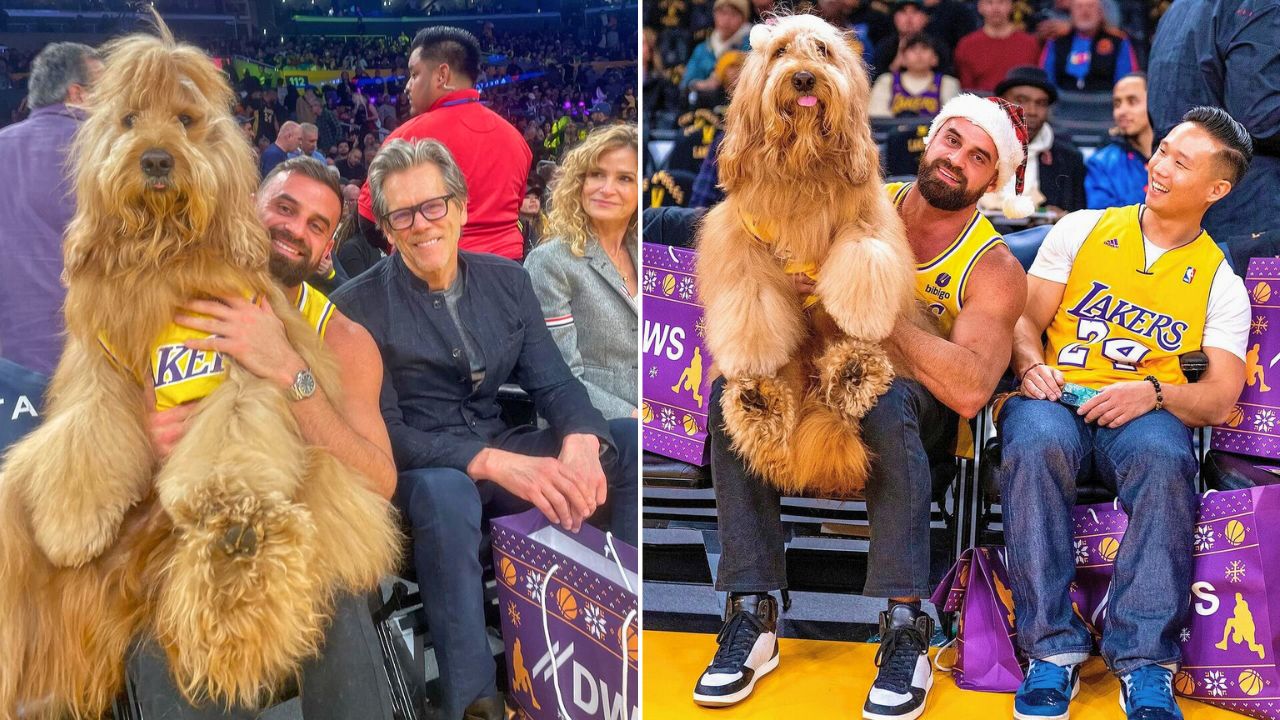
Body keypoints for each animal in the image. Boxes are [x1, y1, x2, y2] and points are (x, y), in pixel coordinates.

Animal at [0, 19, 399, 712]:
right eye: (129, 119)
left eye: (186, 121)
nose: (157, 159)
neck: (162, 255)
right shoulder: (100, 366)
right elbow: (87, 431)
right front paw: (73, 518)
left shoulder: (236, 362)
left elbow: (232, 432)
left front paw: (225, 496)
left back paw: (237, 550)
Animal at [701, 14, 921, 497]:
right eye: (780, 51)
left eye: (822, 49)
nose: (803, 76)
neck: (802, 162)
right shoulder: (742, 245)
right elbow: (752, 300)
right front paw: (751, 354)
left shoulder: (865, 218)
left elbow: (864, 254)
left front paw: (861, 312)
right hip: (791, 374)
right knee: (772, 419)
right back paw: (757, 401)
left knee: (848, 391)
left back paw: (853, 372)